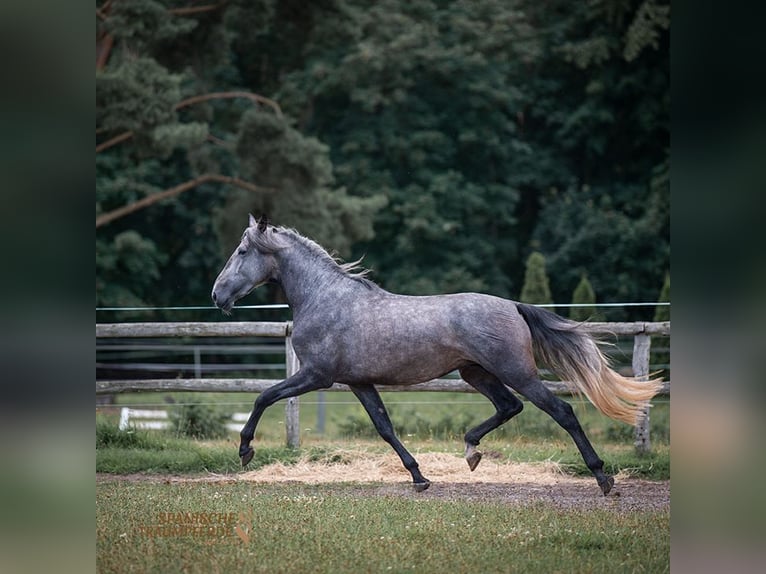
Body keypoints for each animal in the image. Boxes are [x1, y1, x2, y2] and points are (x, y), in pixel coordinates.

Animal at [213, 216, 664, 496]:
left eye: (241, 251)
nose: (217, 295)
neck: (325, 299)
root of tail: (514, 306)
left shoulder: (316, 375)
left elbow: (263, 397)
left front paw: (245, 450)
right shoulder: (358, 382)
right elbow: (385, 428)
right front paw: (419, 477)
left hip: (515, 371)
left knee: (561, 411)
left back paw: (603, 479)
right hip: (476, 374)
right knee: (510, 406)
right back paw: (471, 452)